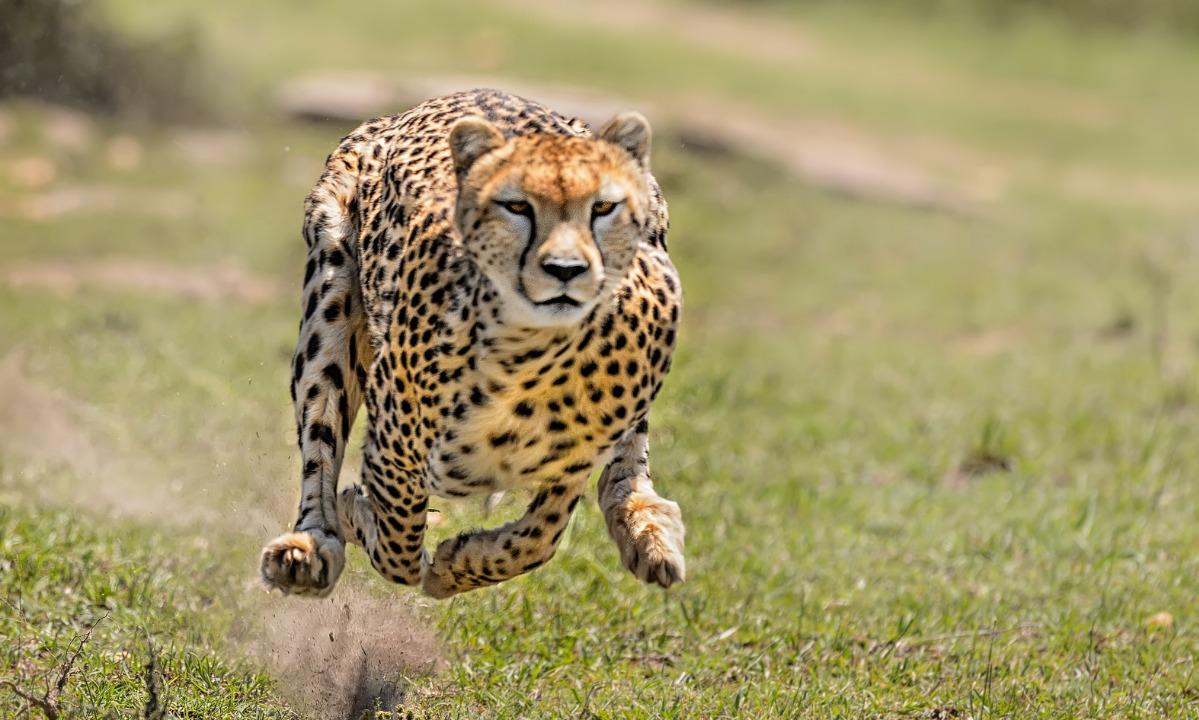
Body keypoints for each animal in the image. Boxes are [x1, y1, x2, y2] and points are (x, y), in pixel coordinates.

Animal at [259, 89, 684, 599]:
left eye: (603, 208)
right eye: (517, 207)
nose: (565, 269)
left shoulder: (575, 458)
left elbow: (540, 537)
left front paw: (458, 564)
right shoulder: (395, 447)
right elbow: (398, 544)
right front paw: (361, 517)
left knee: (626, 465)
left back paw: (647, 529)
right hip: (331, 297)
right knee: (320, 438)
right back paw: (310, 545)